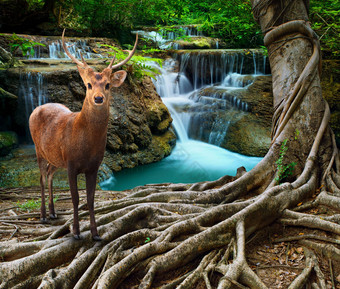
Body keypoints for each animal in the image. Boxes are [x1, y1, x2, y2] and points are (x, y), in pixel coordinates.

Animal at [29, 30, 138, 240]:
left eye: (107, 85)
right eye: (88, 85)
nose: (98, 98)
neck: (85, 144)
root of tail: (36, 108)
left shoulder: (93, 166)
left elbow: (90, 198)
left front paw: (95, 233)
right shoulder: (71, 163)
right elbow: (75, 198)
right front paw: (76, 232)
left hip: (56, 158)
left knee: (49, 174)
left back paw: (53, 213)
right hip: (38, 149)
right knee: (41, 178)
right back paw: (43, 216)